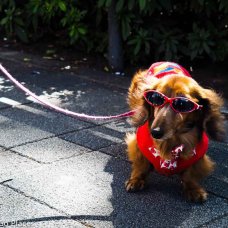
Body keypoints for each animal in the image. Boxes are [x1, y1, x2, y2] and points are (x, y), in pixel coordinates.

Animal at [125, 61, 225, 202]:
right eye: (156, 98)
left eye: (182, 104)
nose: (155, 132)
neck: (172, 141)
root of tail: (167, 61)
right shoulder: (138, 144)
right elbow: (141, 164)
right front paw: (136, 179)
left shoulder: (198, 155)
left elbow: (190, 174)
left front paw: (193, 189)